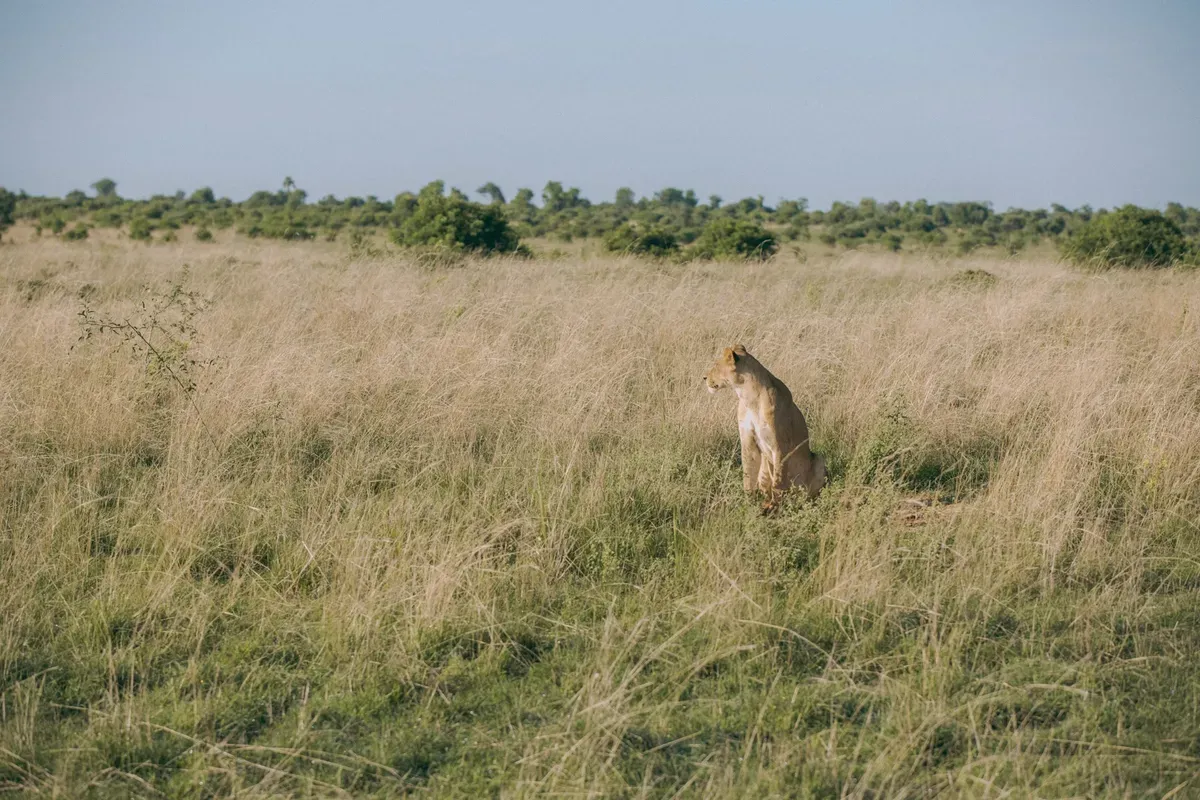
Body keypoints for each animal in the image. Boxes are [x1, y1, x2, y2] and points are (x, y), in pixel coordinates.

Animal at [704, 344, 826, 510]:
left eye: (716, 365)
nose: (704, 378)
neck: (748, 397)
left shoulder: (780, 445)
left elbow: (779, 481)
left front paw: (774, 508)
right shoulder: (747, 440)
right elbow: (748, 475)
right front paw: (747, 504)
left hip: (819, 460)